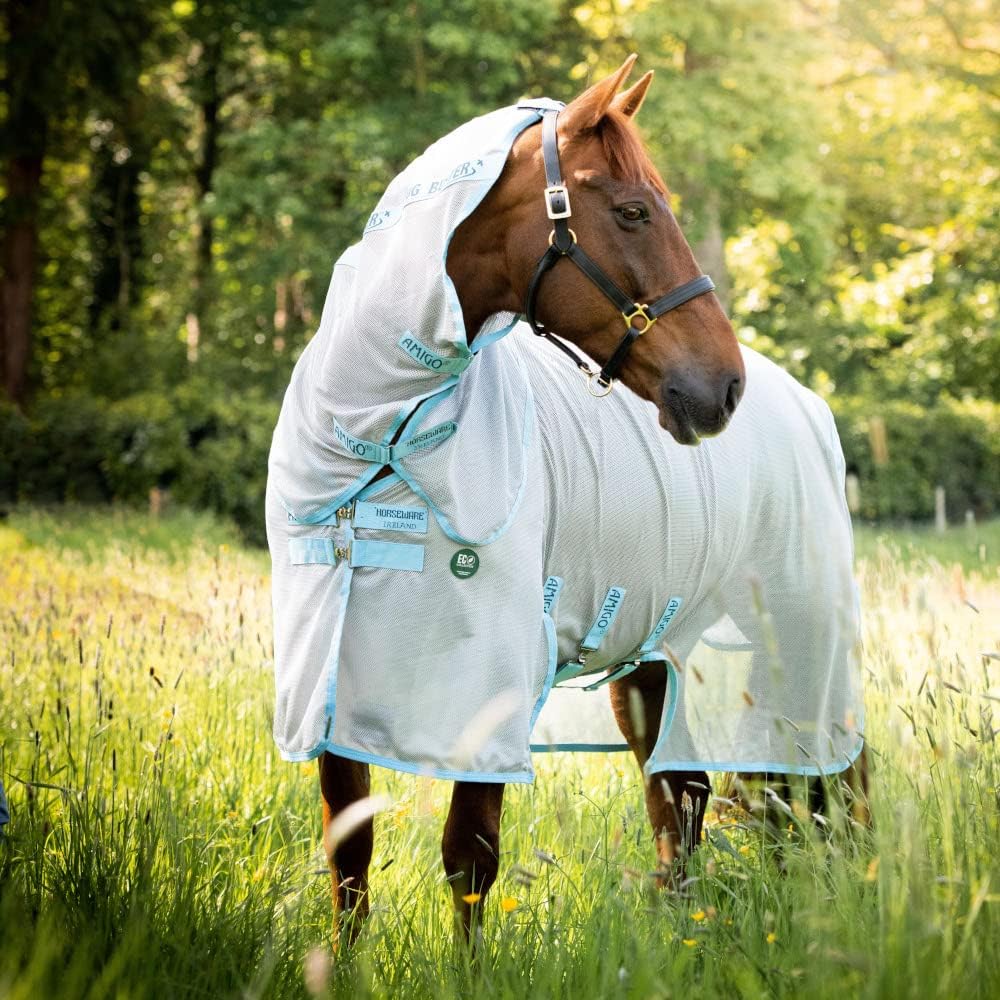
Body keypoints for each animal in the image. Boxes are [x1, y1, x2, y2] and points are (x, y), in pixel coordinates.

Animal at [265, 56, 867, 947]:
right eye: (632, 209)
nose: (722, 387)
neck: (381, 442)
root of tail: (806, 405)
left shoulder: (490, 681)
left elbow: (469, 856)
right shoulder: (329, 684)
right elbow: (350, 856)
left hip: (802, 641)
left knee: (830, 785)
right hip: (656, 664)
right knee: (680, 803)